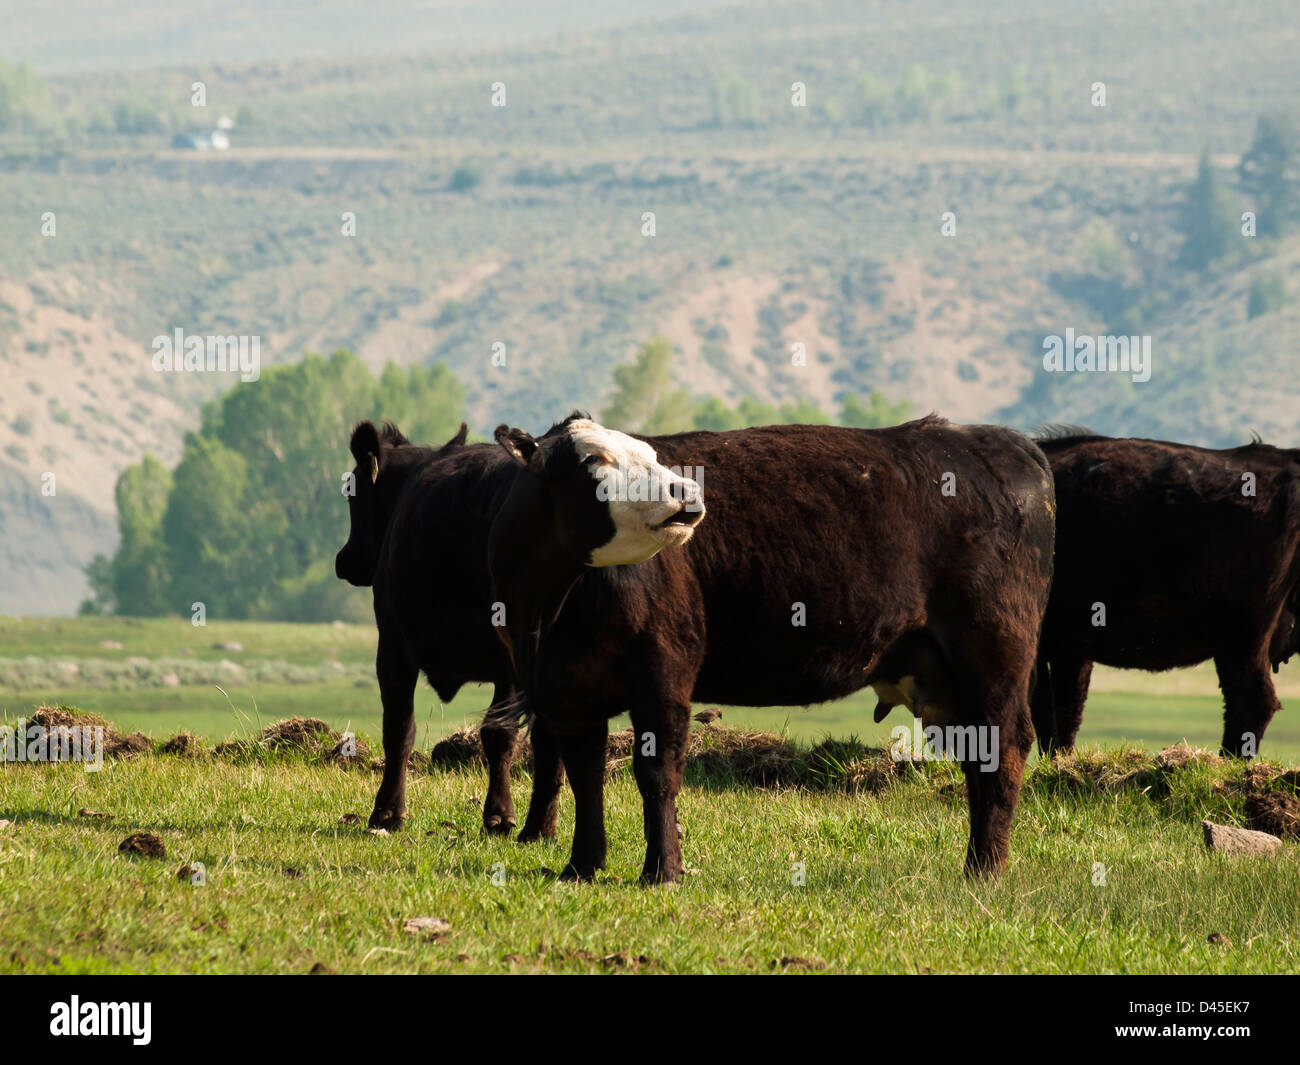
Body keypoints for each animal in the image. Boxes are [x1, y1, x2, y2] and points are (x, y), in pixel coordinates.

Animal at [486, 414, 1056, 881]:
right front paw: (581, 866)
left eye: (648, 453)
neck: (551, 608)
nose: (685, 490)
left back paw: (984, 871)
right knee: (979, 756)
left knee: (1003, 751)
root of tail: (1005, 444)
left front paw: (662, 871)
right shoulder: (565, 692)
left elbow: (658, 775)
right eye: (597, 460)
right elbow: (583, 776)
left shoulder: (664, 674)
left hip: (994, 653)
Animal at [1030, 431, 1300, 758]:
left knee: (1251, 699)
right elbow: (1066, 711)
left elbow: (1045, 712)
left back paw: (1227, 761)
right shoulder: (1070, 650)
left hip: (1242, 637)